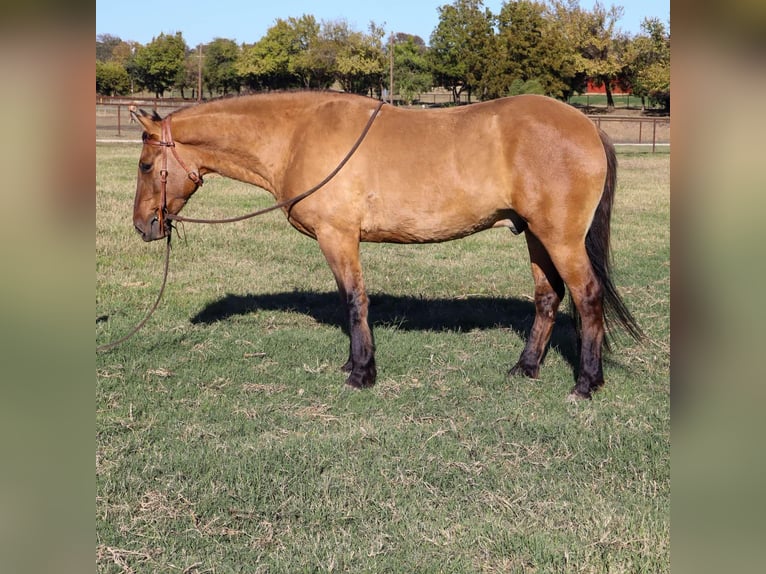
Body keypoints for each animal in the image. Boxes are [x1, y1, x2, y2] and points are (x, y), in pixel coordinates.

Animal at [130, 91, 641, 399]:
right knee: (548, 297)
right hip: (536, 235)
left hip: (560, 238)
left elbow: (354, 300)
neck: (298, 135)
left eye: (144, 164)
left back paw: (586, 382)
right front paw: (353, 365)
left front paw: (361, 372)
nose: (142, 226)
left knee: (587, 296)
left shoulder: (338, 237)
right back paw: (526, 367)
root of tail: (588, 126)